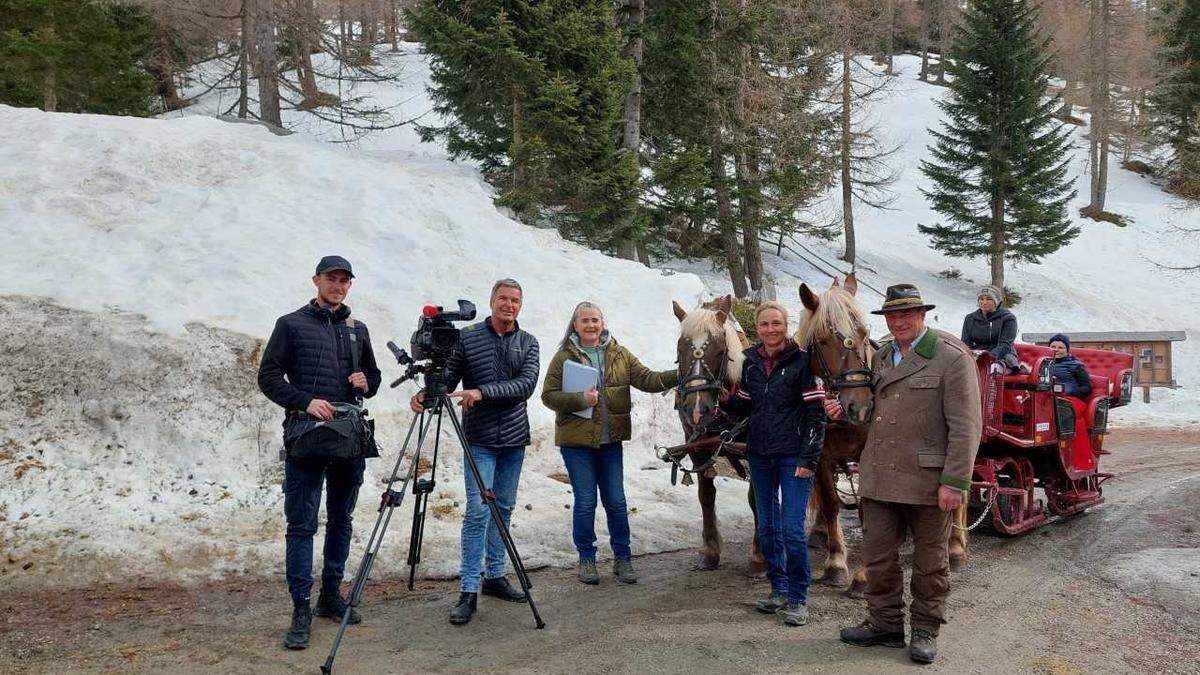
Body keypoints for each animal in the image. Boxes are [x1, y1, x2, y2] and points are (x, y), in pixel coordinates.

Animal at [672, 294, 763, 571]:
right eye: (679, 350)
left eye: (721, 351)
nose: (696, 409)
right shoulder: (698, 447)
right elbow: (706, 495)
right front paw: (711, 551)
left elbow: (757, 497)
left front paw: (759, 555)